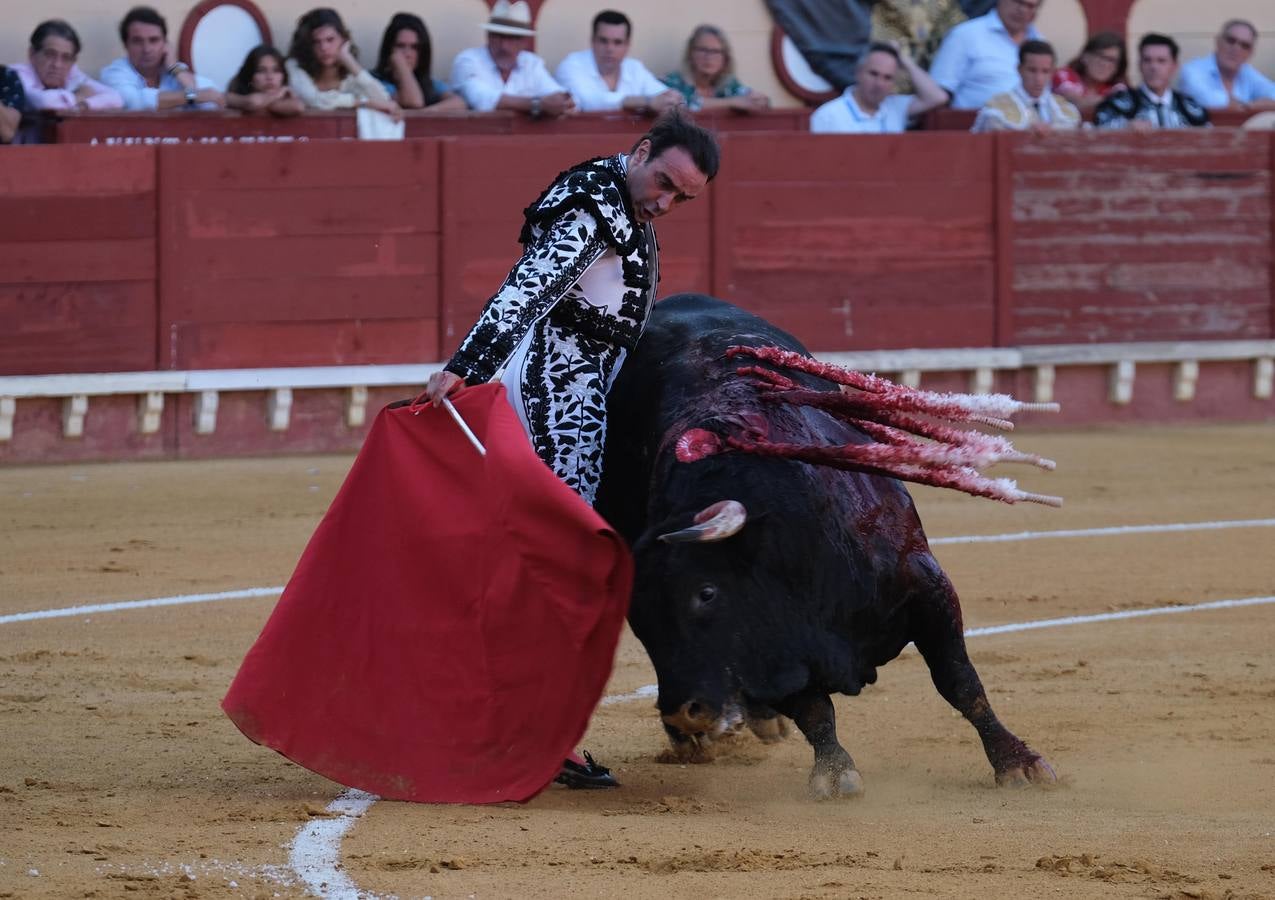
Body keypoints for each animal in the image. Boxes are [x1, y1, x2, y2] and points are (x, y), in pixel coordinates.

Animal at [596, 290, 1055, 795]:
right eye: (637, 617)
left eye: (706, 593)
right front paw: (835, 774)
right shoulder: (783, 644)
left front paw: (1017, 762)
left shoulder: (927, 587)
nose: (684, 714)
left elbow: (960, 682)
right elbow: (814, 709)